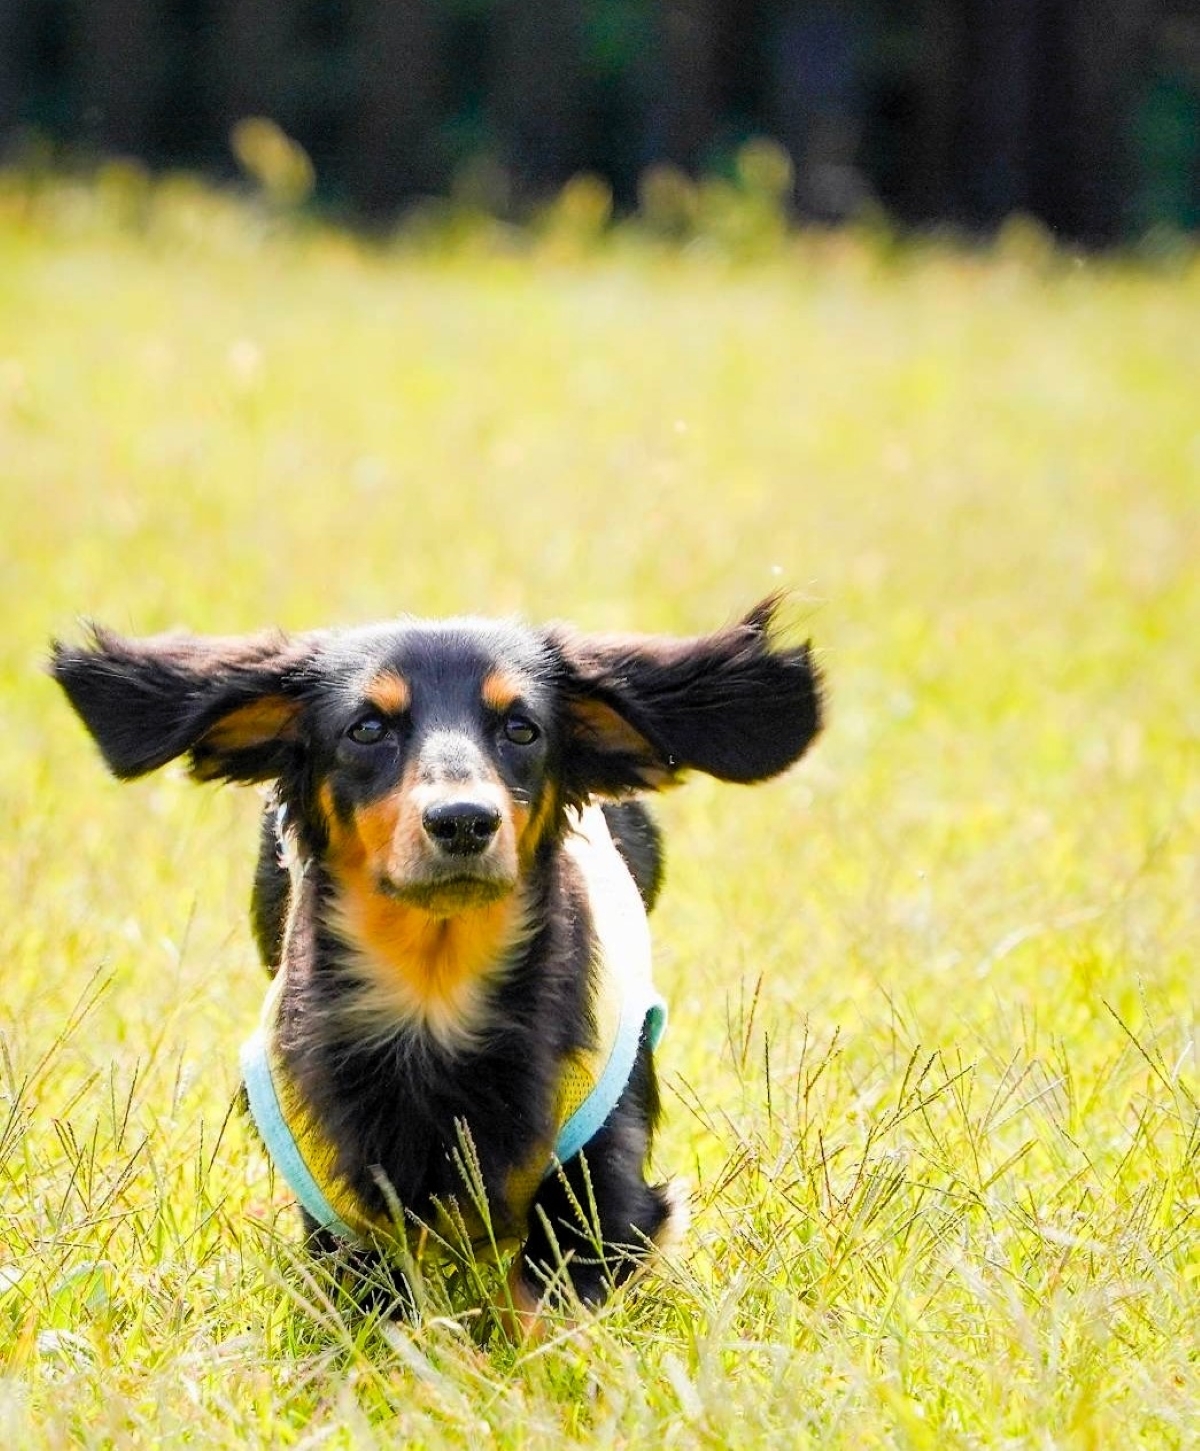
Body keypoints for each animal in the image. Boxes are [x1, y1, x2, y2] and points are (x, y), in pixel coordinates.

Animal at [51, 594, 824, 1329]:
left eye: (522, 729)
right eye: (367, 728)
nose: (463, 821)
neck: (433, 992)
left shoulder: (606, 1193)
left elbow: (545, 1299)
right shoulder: (342, 1198)